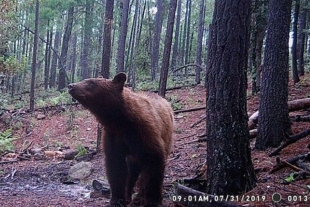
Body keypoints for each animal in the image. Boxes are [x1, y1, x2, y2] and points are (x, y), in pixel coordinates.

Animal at [68, 72, 174, 205]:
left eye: (91, 82)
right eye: (85, 79)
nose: (71, 86)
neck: (120, 120)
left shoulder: (144, 134)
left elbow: (154, 161)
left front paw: (153, 200)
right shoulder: (113, 136)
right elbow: (116, 166)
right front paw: (117, 199)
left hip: (166, 136)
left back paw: (139, 196)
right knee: (133, 171)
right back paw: (129, 195)